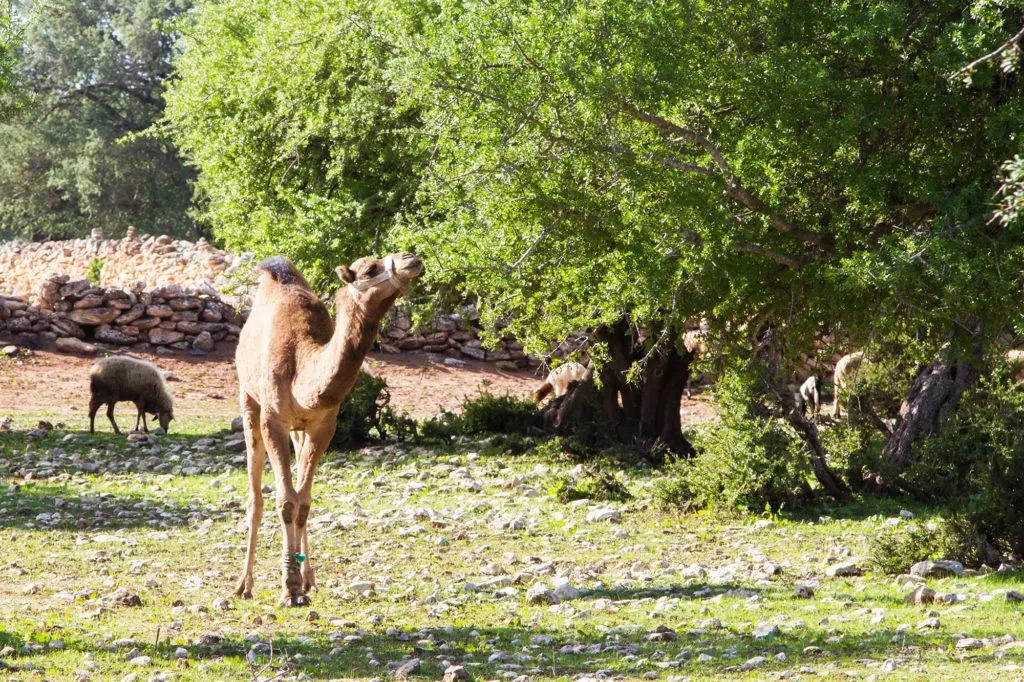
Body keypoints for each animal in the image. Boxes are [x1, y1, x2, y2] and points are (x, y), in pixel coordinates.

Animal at [233, 252, 422, 606]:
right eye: (369, 269)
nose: (411, 259)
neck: (302, 364)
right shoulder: (273, 420)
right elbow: (285, 502)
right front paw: (289, 589)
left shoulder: (323, 426)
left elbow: (303, 503)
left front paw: (300, 585)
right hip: (248, 399)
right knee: (256, 495)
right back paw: (244, 585)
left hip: (299, 430)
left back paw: (308, 579)